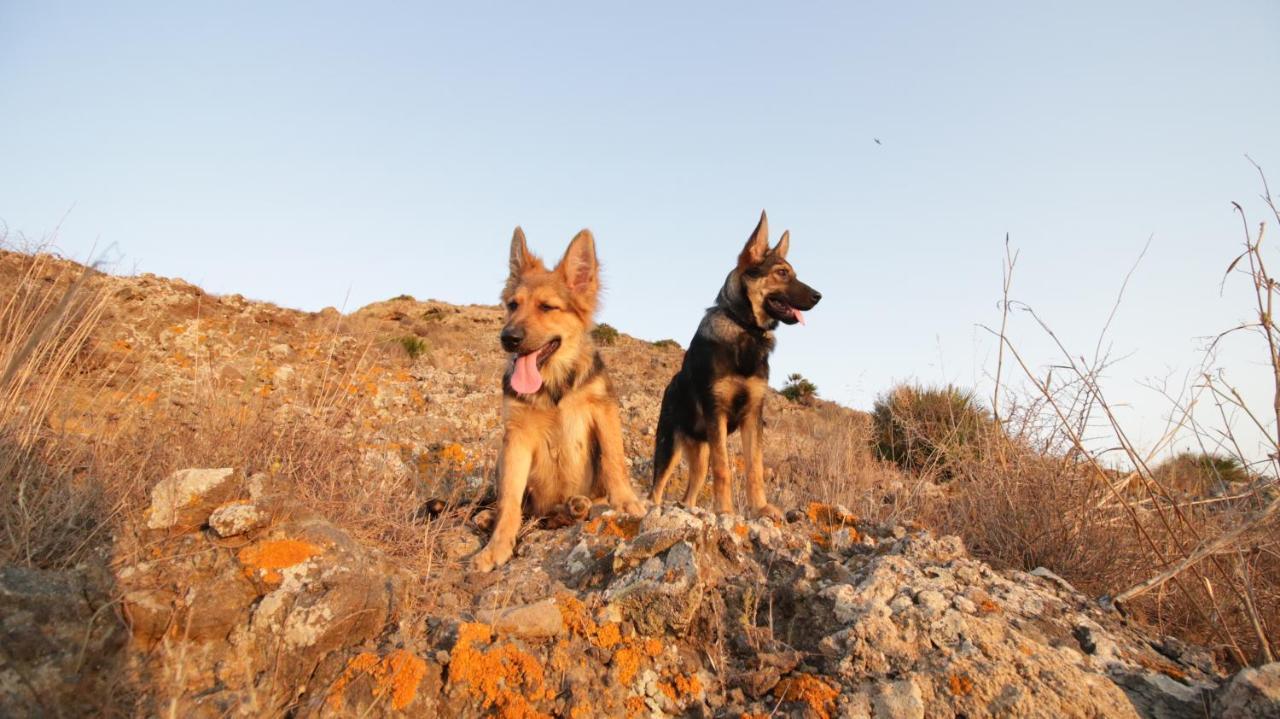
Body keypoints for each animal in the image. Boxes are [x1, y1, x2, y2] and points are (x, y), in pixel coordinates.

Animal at [471, 225, 645, 570]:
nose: (508, 339)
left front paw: (626, 502)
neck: (554, 386)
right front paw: (497, 546)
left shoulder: (603, 410)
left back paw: (578, 505)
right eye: (512, 305)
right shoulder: (516, 437)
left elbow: (614, 460)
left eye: (547, 307)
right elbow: (509, 498)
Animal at [650, 209, 819, 516]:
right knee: (656, 489)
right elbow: (724, 470)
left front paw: (761, 508)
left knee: (689, 494)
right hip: (669, 447)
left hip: (700, 454)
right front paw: (726, 511)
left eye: (793, 274)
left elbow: (755, 468)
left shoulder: (753, 416)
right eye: (781, 273)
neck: (745, 329)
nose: (819, 296)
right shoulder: (716, 411)